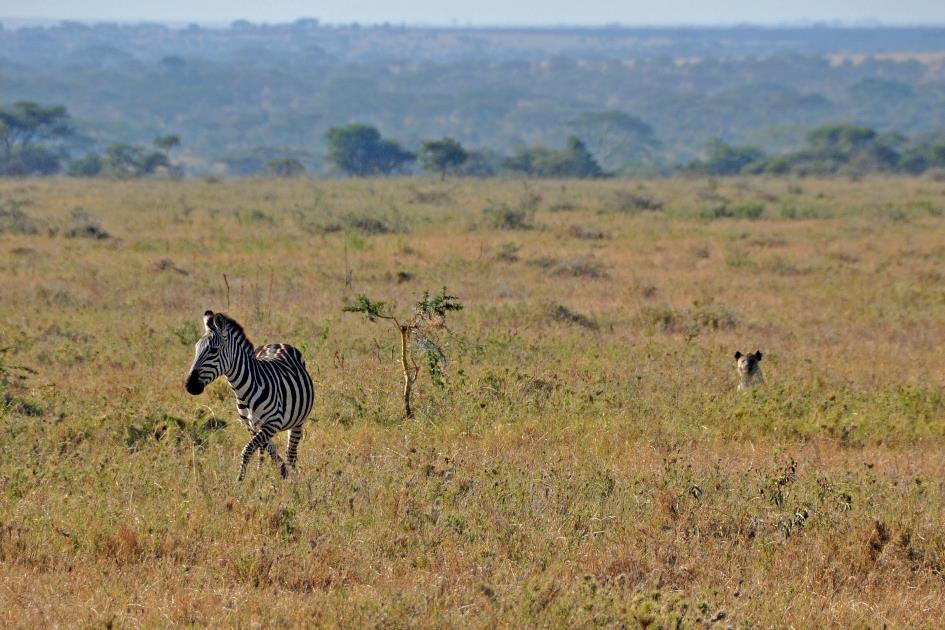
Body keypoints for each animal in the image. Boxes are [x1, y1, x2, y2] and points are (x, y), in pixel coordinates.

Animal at [185, 312, 318, 484]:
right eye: (196, 349)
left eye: (214, 350)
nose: (189, 385)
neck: (244, 392)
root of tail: (278, 343)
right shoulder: (251, 425)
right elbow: (266, 448)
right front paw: (272, 472)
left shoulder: (273, 422)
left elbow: (248, 449)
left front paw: (240, 481)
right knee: (266, 450)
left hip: (298, 421)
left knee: (292, 453)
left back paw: (293, 478)